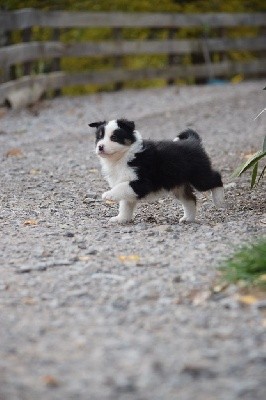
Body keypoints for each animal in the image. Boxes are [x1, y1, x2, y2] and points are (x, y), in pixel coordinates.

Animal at [89, 119, 224, 223]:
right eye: (99, 137)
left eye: (114, 137)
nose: (100, 147)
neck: (122, 157)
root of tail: (193, 141)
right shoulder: (127, 184)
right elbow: (125, 205)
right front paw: (121, 219)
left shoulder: (141, 183)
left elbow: (122, 188)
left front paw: (109, 194)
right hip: (178, 185)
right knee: (190, 199)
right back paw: (188, 219)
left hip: (199, 176)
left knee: (216, 178)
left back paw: (219, 200)